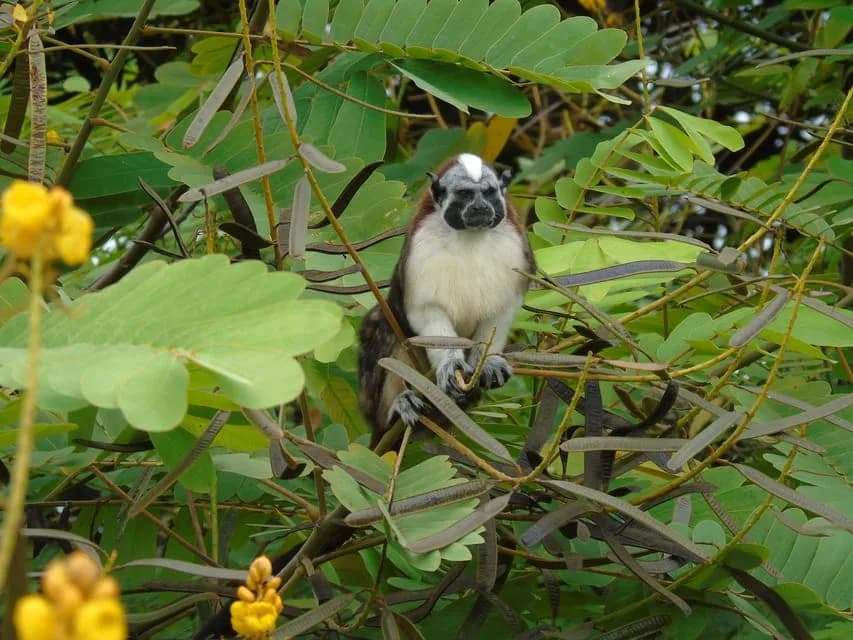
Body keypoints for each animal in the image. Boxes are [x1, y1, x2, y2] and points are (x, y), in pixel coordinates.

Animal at [359, 153, 536, 447]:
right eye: (464, 195)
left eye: (488, 193)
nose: (480, 208)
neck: (471, 237)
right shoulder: (421, 249)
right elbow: (427, 312)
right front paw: (450, 364)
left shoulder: (515, 248)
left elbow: (500, 312)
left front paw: (487, 362)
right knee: (382, 324)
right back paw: (397, 407)